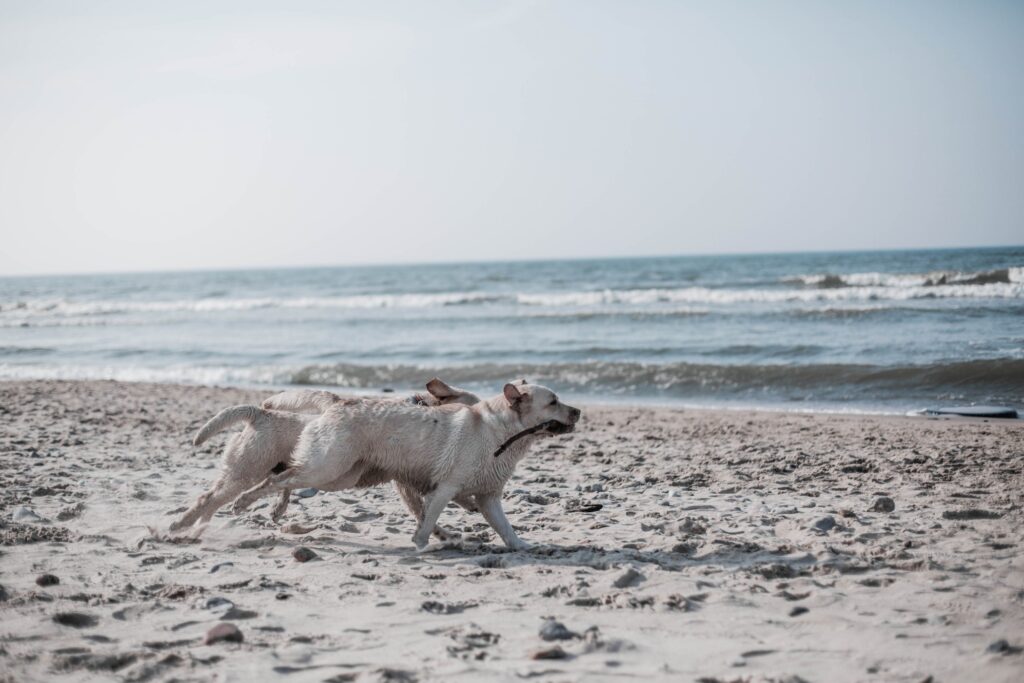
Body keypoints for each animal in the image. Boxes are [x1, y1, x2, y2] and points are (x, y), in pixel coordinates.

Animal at [172, 378, 479, 532]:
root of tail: (259, 413)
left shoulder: (412, 478)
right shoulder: (410, 478)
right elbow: (427, 506)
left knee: (224, 497)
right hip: (250, 470)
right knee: (212, 498)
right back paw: (180, 526)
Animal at [234, 382, 585, 552]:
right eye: (553, 401)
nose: (579, 411)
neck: (500, 431)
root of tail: (338, 402)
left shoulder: (489, 498)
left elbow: (506, 528)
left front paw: (522, 546)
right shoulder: (444, 489)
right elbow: (427, 522)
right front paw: (420, 546)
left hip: (340, 473)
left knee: (286, 477)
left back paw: (271, 508)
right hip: (327, 468)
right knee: (278, 479)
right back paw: (245, 501)